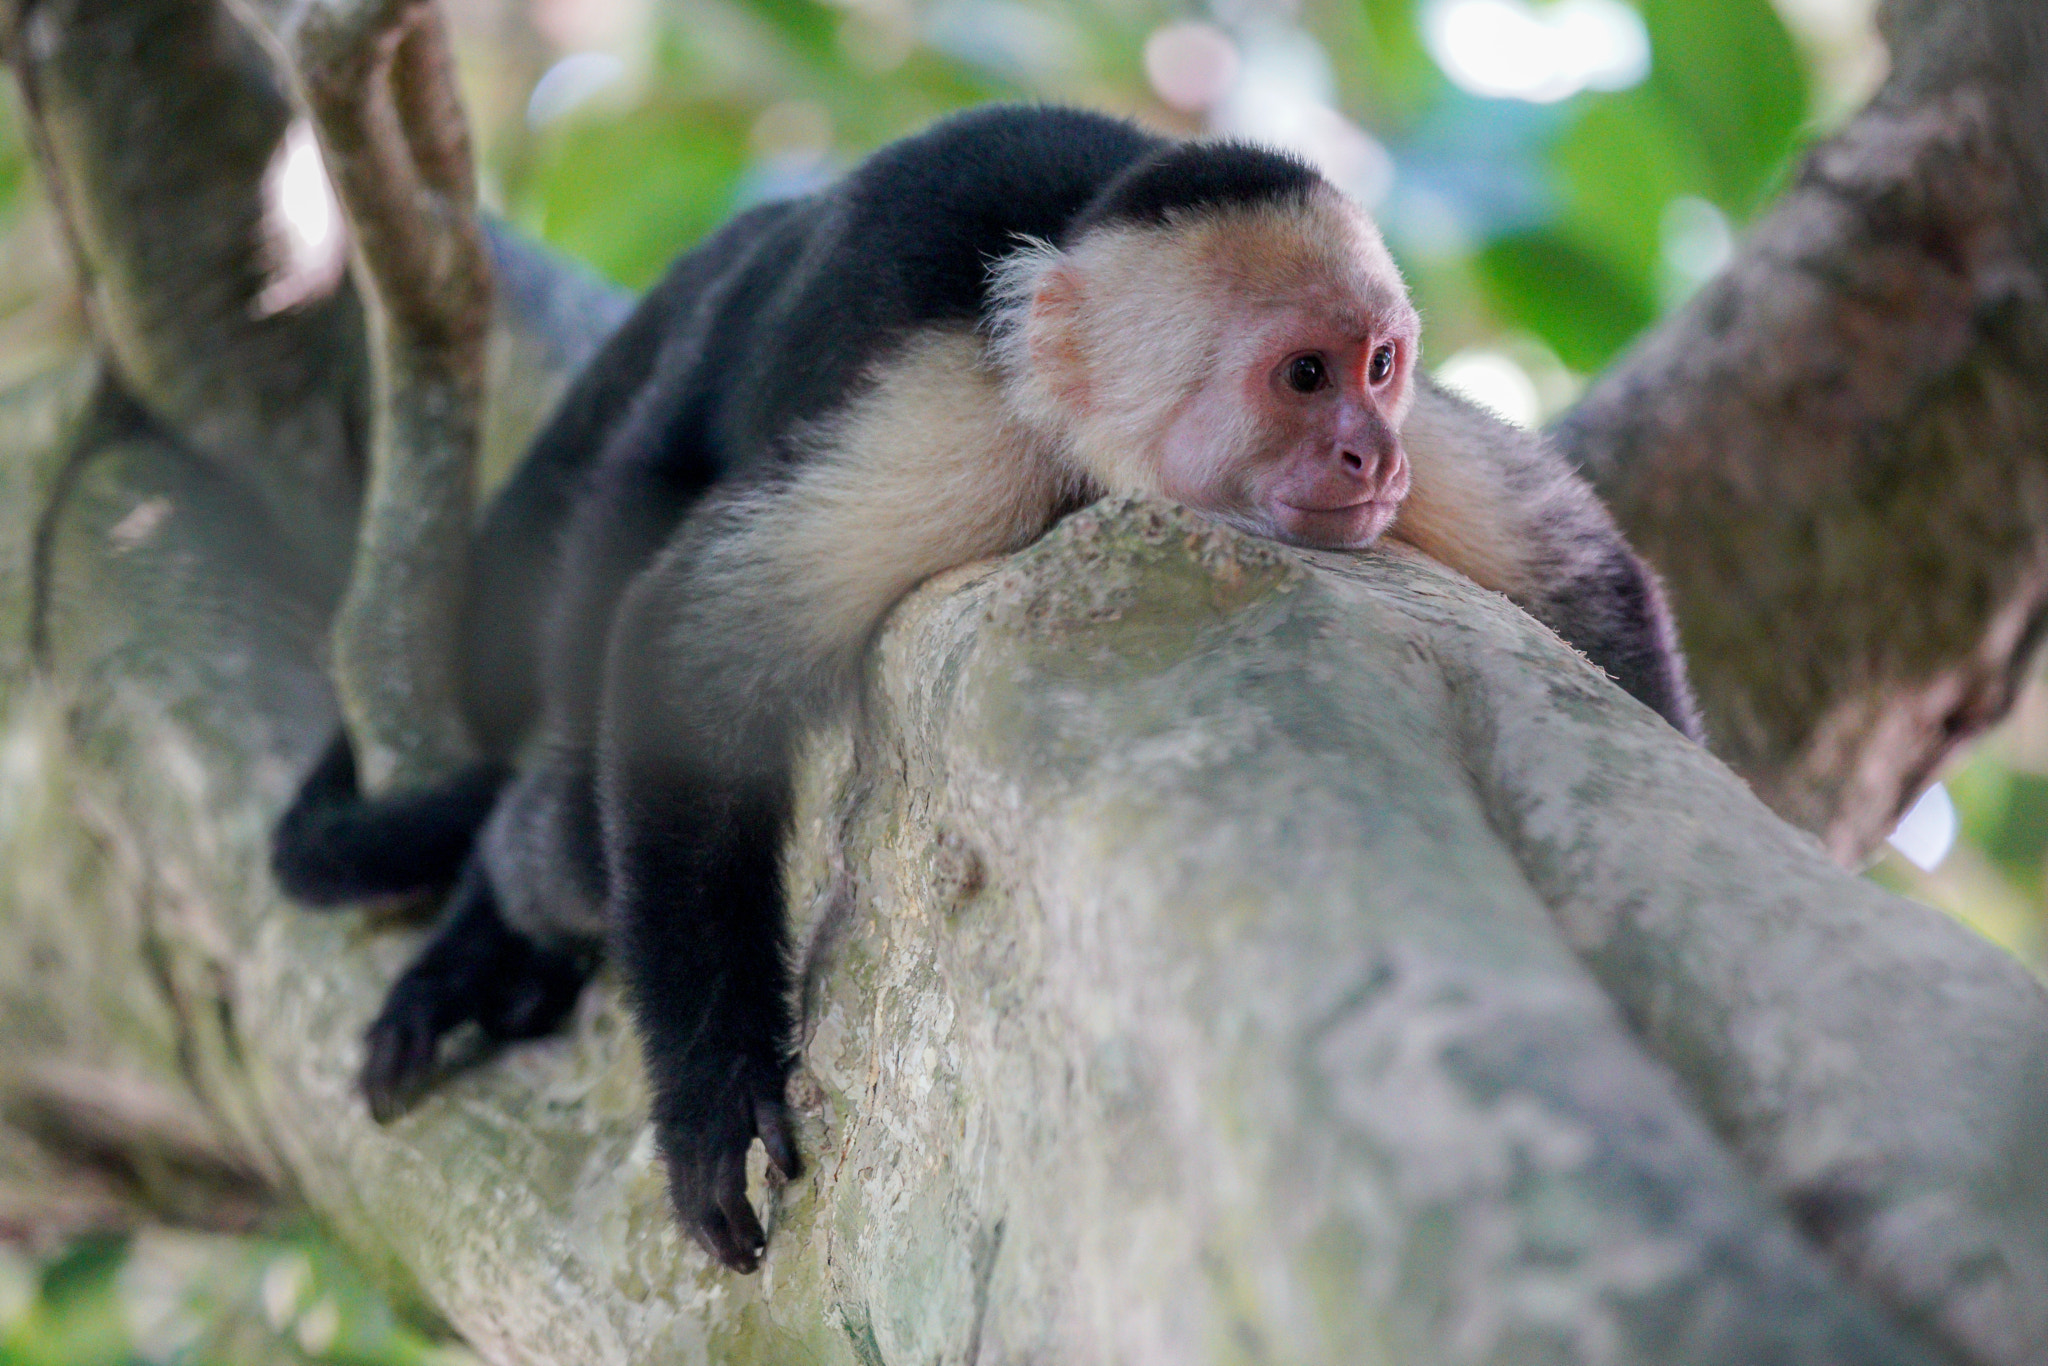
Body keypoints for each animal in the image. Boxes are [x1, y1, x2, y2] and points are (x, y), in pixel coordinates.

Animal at [272, 104, 1699, 1274]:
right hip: (640, 468)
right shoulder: (958, 433)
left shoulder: (1417, 468)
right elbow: (688, 648)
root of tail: (757, 238)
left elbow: (1584, 577)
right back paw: (490, 923)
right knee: (571, 830)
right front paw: (713, 1097)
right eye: (1301, 374)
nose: (1365, 452)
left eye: (1380, 364)